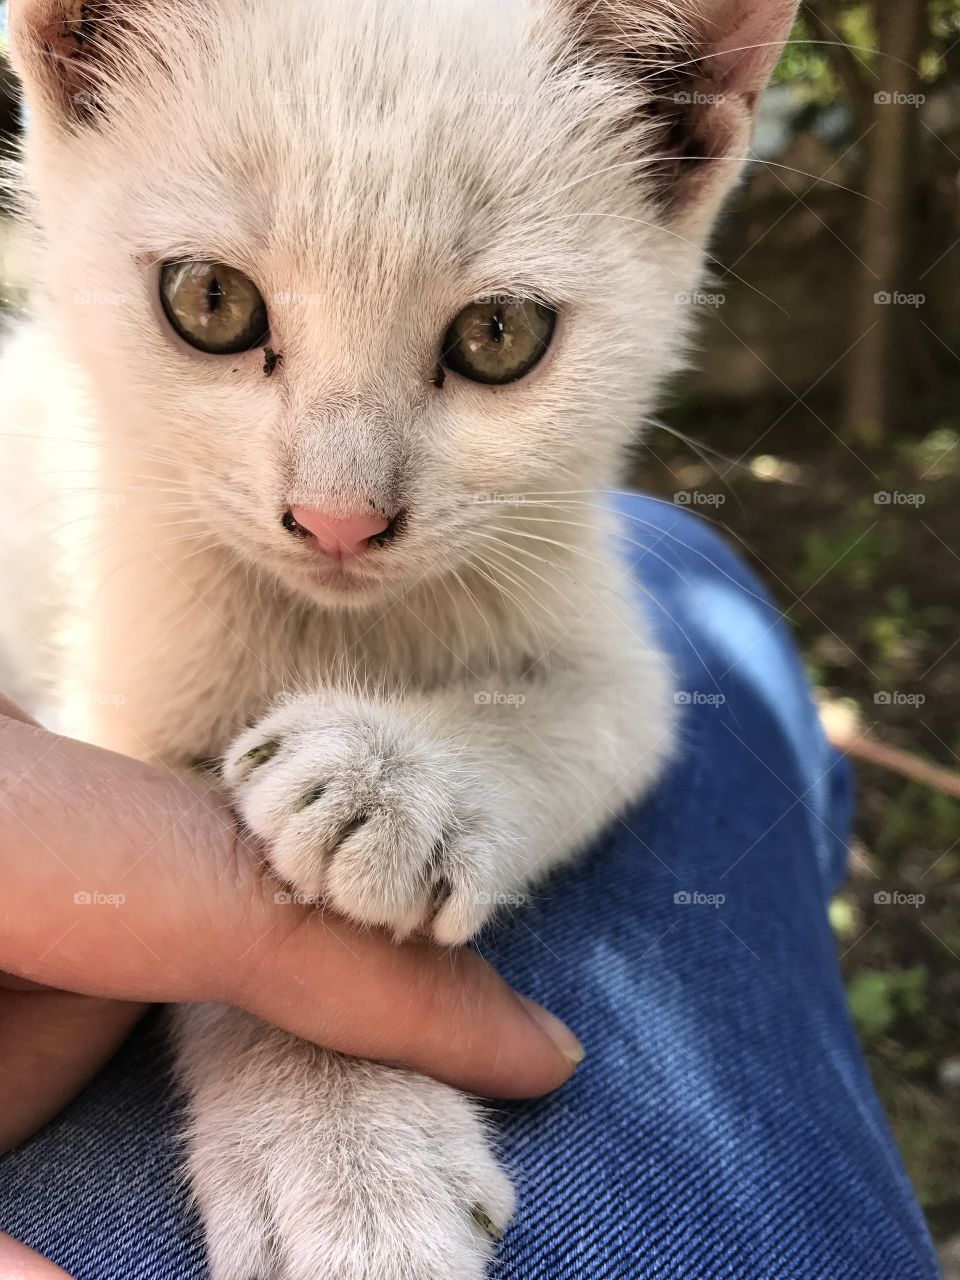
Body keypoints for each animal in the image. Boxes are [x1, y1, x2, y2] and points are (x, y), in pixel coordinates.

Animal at [3, 5, 798, 1274]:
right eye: (210, 301)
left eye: (499, 333)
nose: (339, 519)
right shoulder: (117, 694)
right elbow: (267, 944)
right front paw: (343, 1149)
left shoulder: (629, 665)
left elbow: (575, 718)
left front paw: (394, 779)